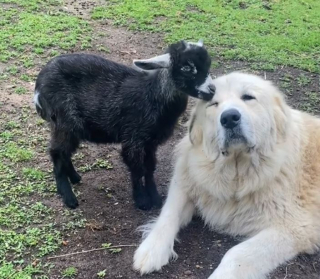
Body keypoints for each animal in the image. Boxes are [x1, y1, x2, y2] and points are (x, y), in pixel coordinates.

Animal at [132, 72, 320, 279]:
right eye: (213, 104)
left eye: (248, 97)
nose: (229, 118)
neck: (235, 174)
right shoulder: (185, 184)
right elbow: (168, 215)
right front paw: (151, 249)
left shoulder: (294, 227)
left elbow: (237, 253)